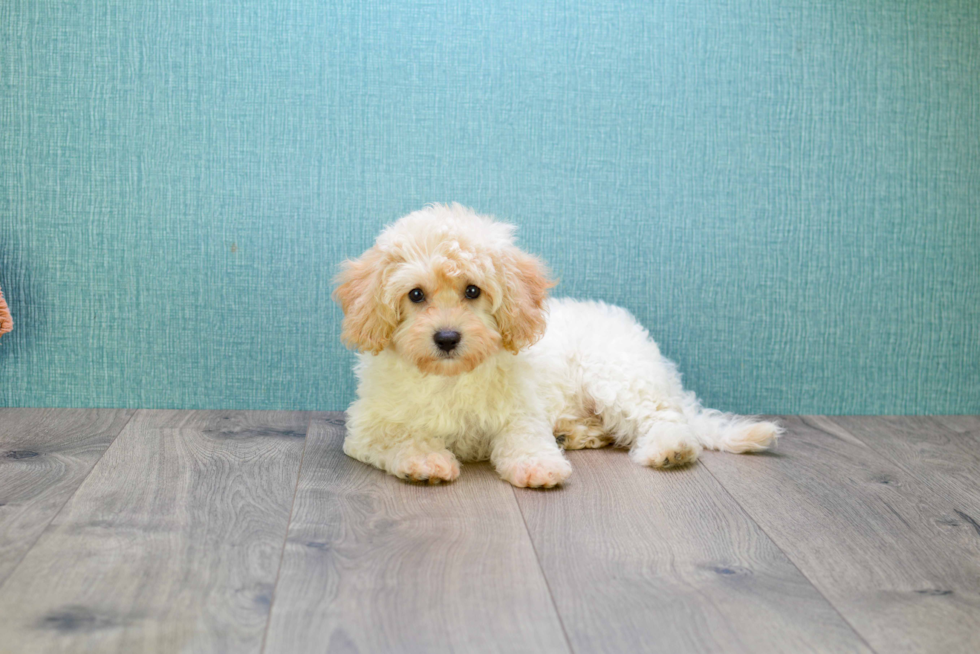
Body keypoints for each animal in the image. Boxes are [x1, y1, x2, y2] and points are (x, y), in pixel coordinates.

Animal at [336, 205, 780, 486]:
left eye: (472, 290)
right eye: (415, 295)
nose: (447, 337)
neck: (450, 377)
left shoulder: (519, 412)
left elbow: (526, 439)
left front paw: (538, 466)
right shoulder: (368, 426)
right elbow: (400, 437)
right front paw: (425, 460)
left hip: (617, 377)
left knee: (664, 419)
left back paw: (668, 449)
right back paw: (574, 433)